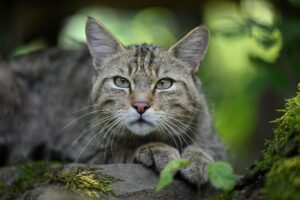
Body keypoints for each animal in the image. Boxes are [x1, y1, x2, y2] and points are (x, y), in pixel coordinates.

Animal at [82, 17, 225, 184]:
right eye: (121, 82)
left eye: (164, 83)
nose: (140, 106)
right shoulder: (89, 155)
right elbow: (123, 152)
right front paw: (157, 148)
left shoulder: (216, 144)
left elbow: (211, 151)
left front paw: (199, 157)